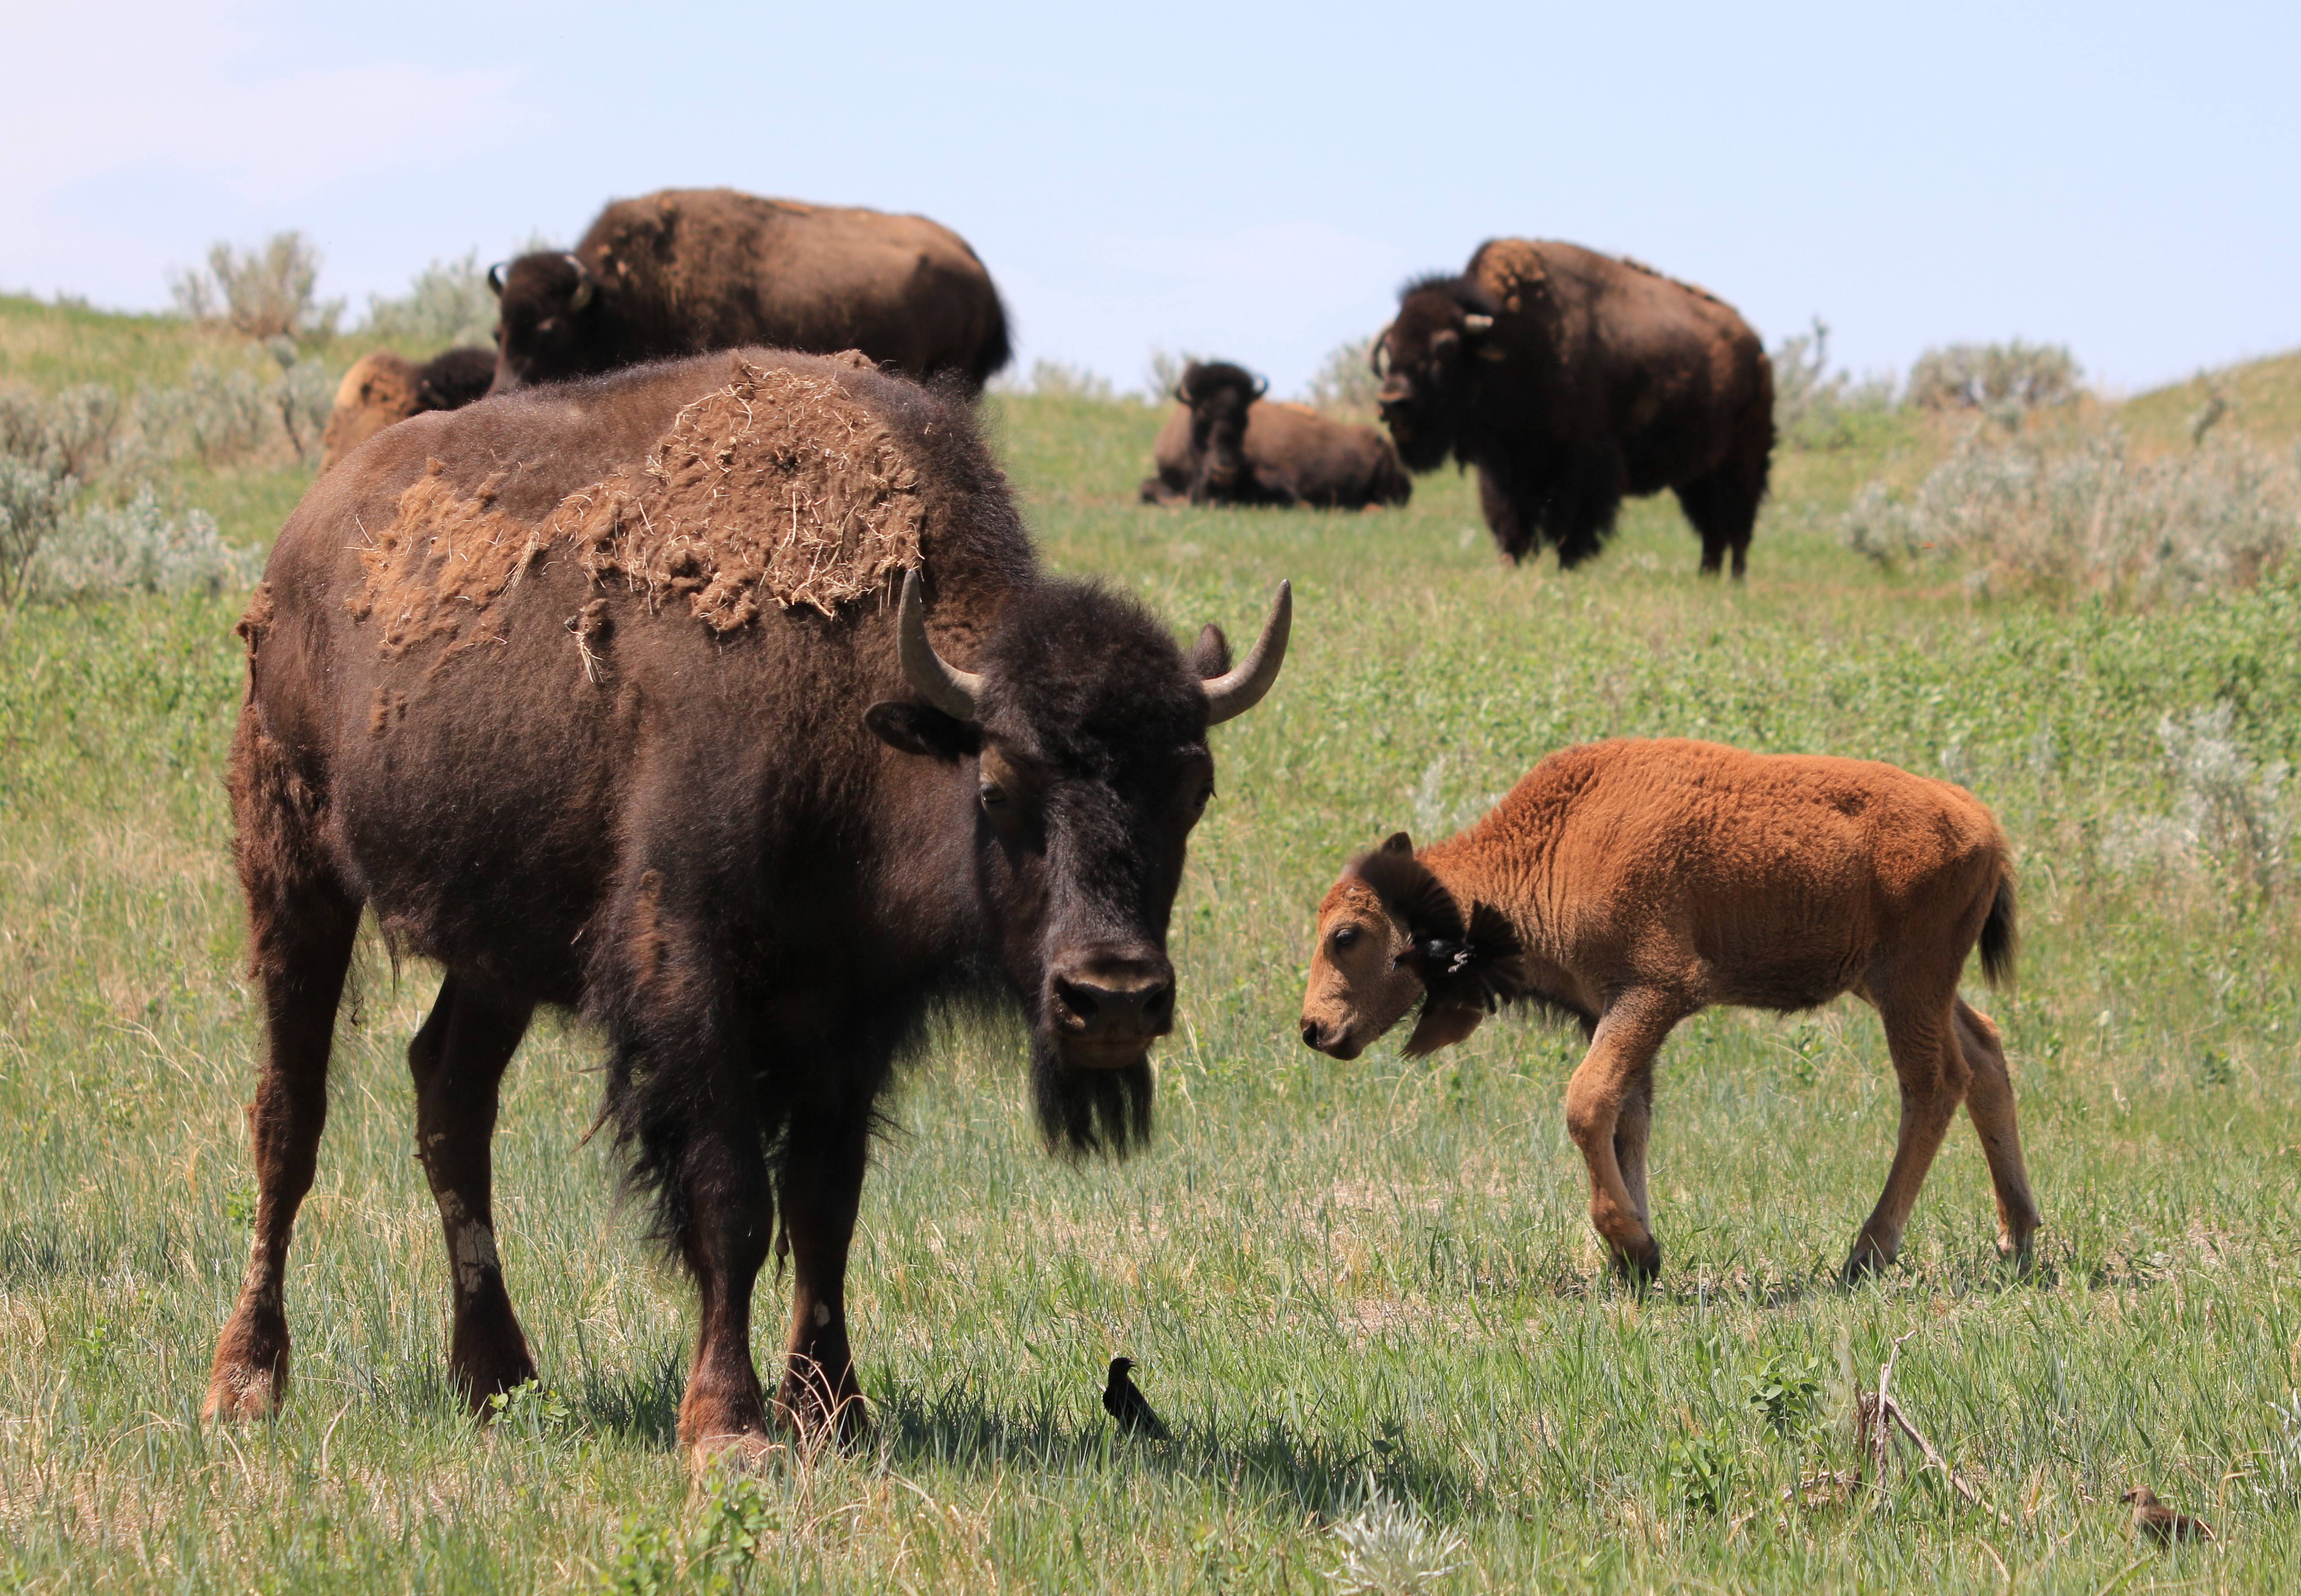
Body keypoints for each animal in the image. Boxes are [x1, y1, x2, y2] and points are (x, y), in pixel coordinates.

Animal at [1307, 740, 2043, 1288]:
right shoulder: (1610, 1010)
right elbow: (1627, 1117)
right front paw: (1633, 1256)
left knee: (1932, 1082)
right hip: (1897, 983)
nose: (1313, 1028)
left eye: (1346, 935)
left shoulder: (1652, 991)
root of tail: (1980, 820)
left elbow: (1587, 1103)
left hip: (1908, 984)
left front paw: (1634, 1248)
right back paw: (2017, 1238)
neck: (1559, 837)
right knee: (1983, 1051)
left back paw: (1865, 1253)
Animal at [1371, 240, 1767, 577]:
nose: (1391, 403)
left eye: (1445, 348)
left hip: (1741, 462)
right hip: (1697, 475)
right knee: (1712, 527)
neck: (1514, 340)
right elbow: (1511, 519)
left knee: (1737, 525)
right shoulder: (1503, 464)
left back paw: (1735, 580)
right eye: (1390, 345)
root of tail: (1756, 347)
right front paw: (1514, 564)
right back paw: (1707, 576)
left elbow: (1571, 522)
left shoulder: (1582, 461)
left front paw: (1567, 566)